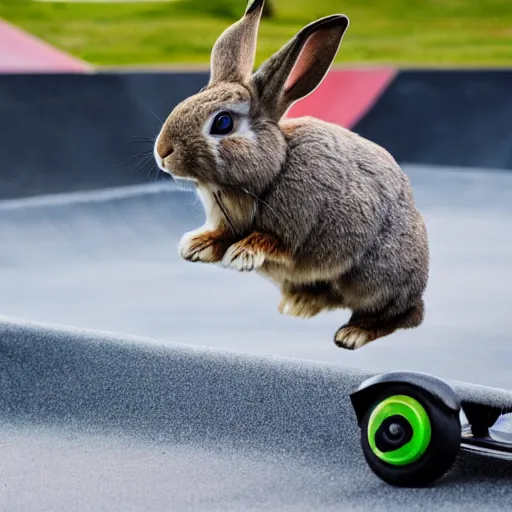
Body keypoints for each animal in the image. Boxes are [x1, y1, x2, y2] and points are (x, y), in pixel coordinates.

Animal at [152, 0, 428, 350]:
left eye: (223, 123)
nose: (163, 152)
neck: (272, 169)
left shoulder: (295, 223)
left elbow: (273, 241)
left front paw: (243, 253)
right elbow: (222, 234)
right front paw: (197, 246)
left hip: (373, 278)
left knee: (398, 313)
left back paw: (354, 333)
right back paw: (299, 304)